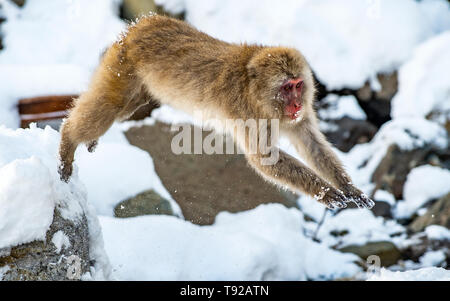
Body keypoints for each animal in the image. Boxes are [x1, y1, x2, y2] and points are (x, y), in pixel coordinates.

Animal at [59, 15, 372, 210]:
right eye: (286, 88)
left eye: (298, 85)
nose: (296, 105)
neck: (256, 93)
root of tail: (141, 24)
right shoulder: (249, 115)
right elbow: (264, 160)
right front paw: (330, 194)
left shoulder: (299, 117)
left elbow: (312, 145)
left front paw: (350, 190)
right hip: (122, 66)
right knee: (109, 106)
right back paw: (67, 141)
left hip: (138, 84)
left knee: (121, 112)